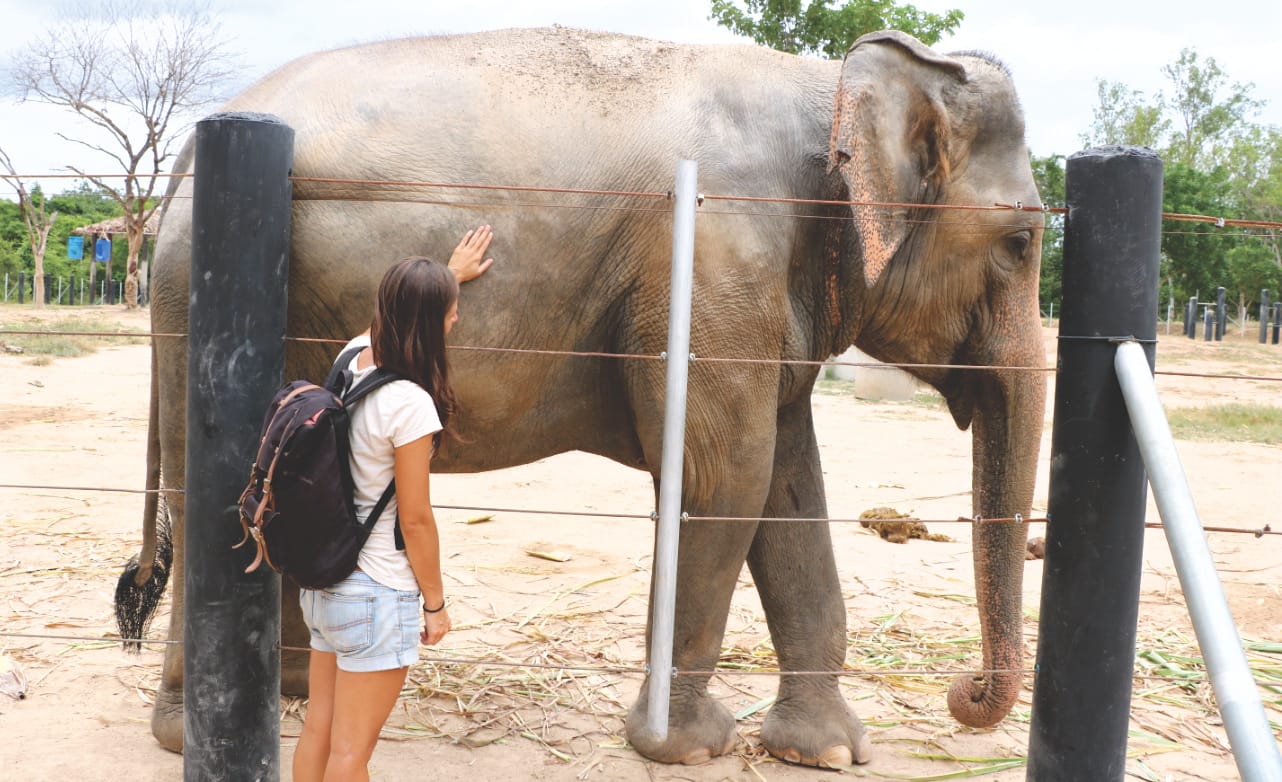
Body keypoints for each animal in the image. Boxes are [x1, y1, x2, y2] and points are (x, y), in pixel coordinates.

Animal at [118, 26, 1046, 768]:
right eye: (1024, 241)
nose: (966, 695)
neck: (830, 87)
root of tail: (196, 148)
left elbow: (784, 485)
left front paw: (827, 753)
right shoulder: (714, 254)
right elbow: (726, 478)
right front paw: (688, 748)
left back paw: (301, 692)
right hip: (198, 295)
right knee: (209, 501)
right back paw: (200, 731)